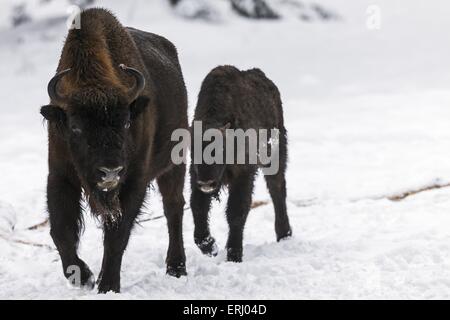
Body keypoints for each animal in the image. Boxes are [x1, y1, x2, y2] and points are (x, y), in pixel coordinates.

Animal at [38, 8, 186, 292]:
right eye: (75, 127)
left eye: (127, 122)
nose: (110, 172)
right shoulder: (60, 175)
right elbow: (60, 230)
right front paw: (83, 276)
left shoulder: (134, 181)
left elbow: (118, 235)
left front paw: (107, 286)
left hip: (174, 163)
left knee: (173, 207)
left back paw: (177, 268)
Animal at [189, 65, 292, 262]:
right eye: (192, 149)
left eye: (220, 150)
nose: (206, 182)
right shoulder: (194, 176)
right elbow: (197, 207)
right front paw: (210, 247)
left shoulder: (244, 173)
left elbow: (237, 211)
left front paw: (234, 255)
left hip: (275, 157)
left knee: (277, 190)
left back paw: (284, 235)